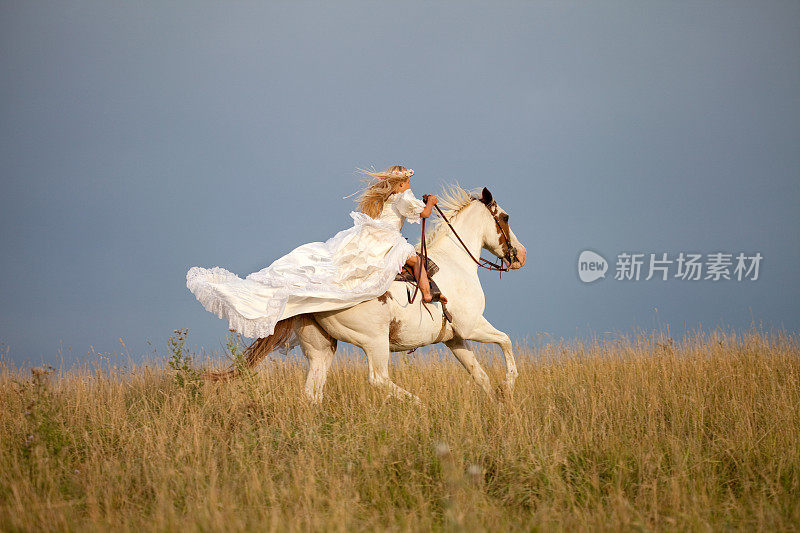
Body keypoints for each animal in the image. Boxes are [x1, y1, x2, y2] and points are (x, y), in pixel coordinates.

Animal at [209, 185, 528, 402]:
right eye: (506, 217)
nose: (521, 255)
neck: (457, 262)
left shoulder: (455, 338)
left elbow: (480, 375)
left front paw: (497, 399)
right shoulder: (472, 327)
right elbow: (506, 341)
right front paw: (509, 386)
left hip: (321, 349)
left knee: (313, 392)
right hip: (375, 342)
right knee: (378, 379)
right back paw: (418, 404)